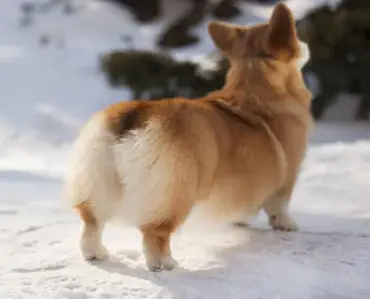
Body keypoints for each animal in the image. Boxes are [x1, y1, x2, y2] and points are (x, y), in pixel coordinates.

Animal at [66, 2, 312, 274]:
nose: (305, 44)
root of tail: (139, 113)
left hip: (98, 184)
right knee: (155, 234)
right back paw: (166, 264)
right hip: (175, 194)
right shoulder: (288, 175)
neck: (254, 84)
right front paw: (287, 225)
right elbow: (279, 205)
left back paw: (95, 253)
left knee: (92, 223)